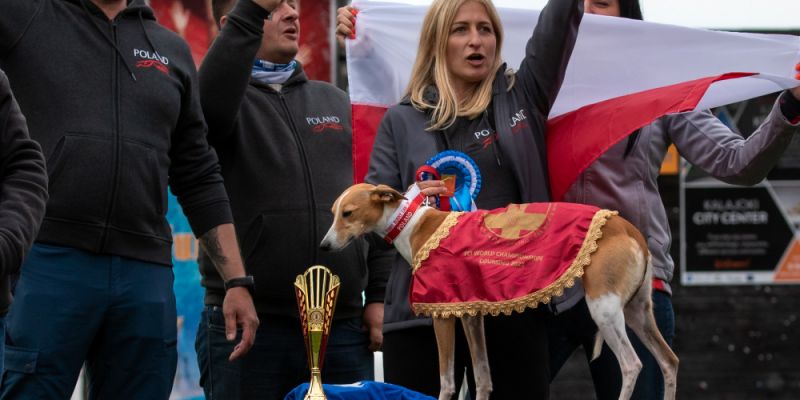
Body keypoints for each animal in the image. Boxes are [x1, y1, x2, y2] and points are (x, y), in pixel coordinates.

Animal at [320, 184, 680, 400]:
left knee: (632, 364)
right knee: (668, 361)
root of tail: (629, 228)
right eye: (333, 212)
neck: (417, 227)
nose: (324, 246)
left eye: (348, 213)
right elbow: (483, 376)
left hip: (604, 309)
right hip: (637, 312)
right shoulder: (470, 314)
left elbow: (447, 381)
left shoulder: (442, 314)